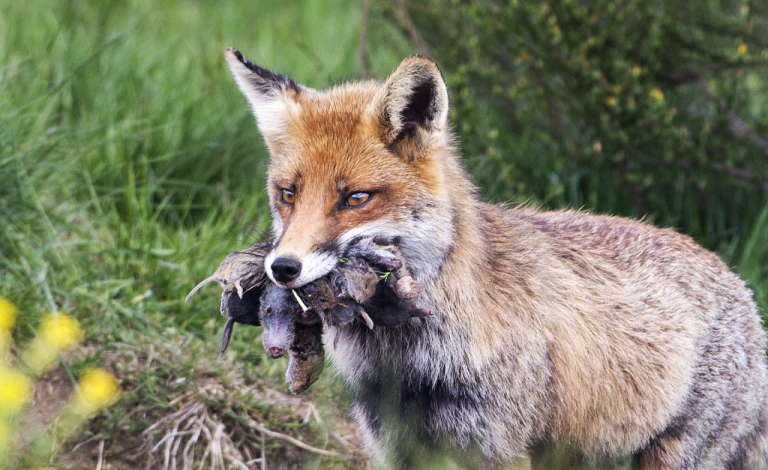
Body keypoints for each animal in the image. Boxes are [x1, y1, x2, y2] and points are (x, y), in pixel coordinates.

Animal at [225, 48, 768, 470]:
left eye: (356, 198)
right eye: (288, 194)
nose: (283, 269)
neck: (414, 364)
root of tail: (739, 283)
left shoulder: (498, 450)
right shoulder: (397, 447)